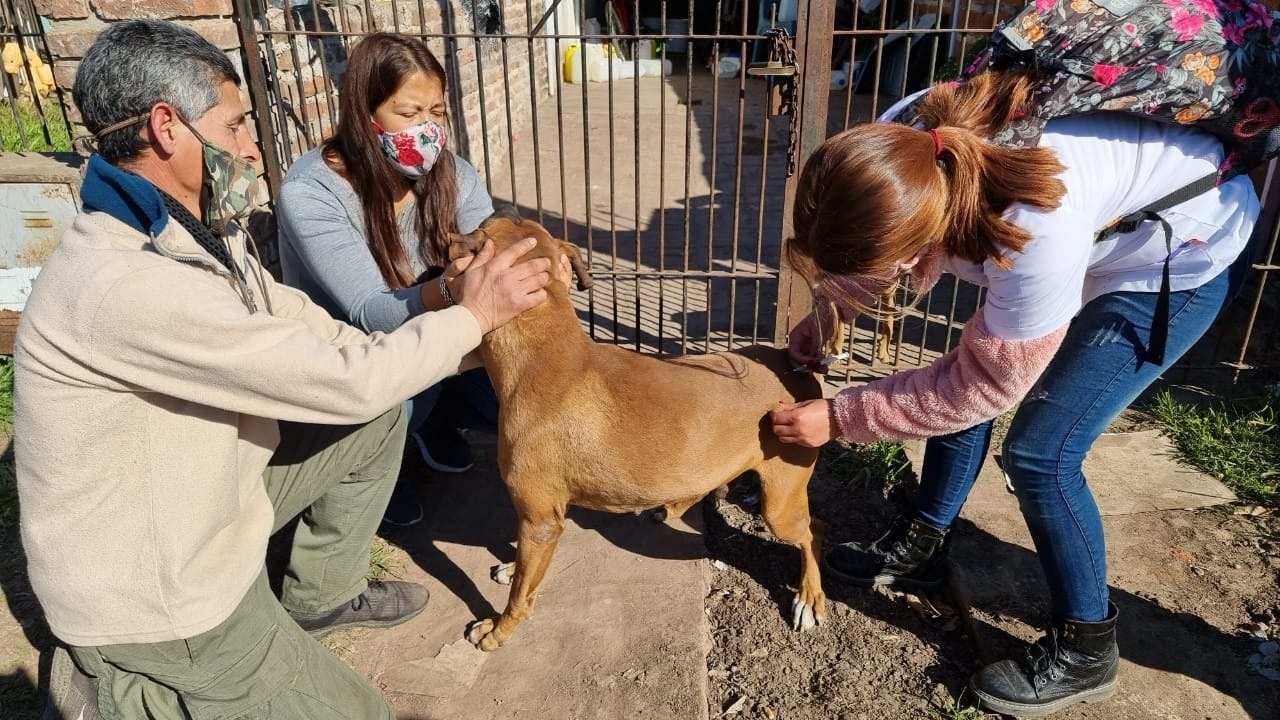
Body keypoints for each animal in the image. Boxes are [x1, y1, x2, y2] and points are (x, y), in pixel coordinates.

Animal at [455, 215, 834, 648]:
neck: (544, 350)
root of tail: (793, 365)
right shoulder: (544, 518)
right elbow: (523, 569)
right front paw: (508, 564)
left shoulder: (540, 519)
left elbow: (521, 593)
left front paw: (498, 629)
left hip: (779, 505)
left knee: (813, 531)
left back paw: (810, 596)